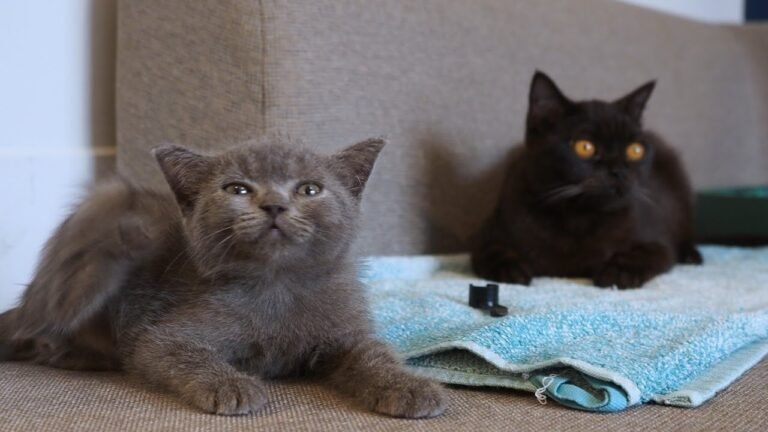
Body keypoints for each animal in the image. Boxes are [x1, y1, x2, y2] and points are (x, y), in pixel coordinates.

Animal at [0, 138, 444, 418]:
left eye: (310, 189)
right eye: (237, 189)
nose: (274, 205)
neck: (277, 284)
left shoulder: (344, 331)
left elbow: (373, 355)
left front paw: (410, 387)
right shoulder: (162, 336)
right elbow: (182, 354)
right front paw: (231, 386)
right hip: (107, 224)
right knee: (41, 322)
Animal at [468, 72, 704, 288]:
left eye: (635, 150)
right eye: (584, 147)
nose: (617, 170)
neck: (579, 219)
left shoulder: (659, 241)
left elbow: (645, 253)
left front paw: (619, 271)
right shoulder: (488, 232)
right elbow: (491, 250)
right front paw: (510, 268)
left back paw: (692, 256)